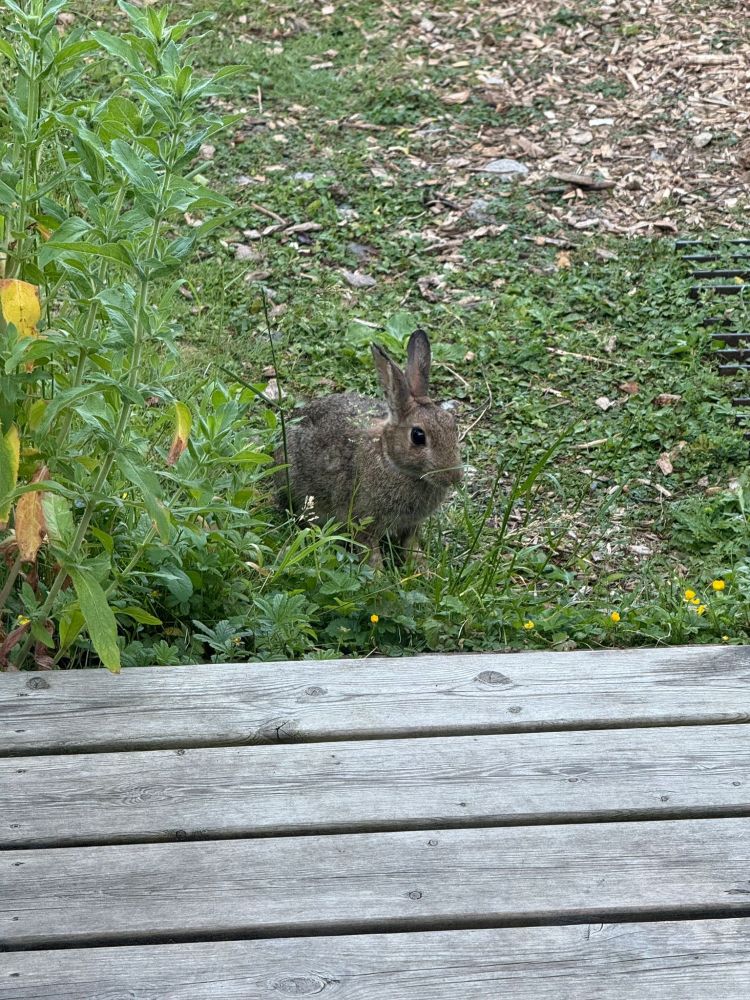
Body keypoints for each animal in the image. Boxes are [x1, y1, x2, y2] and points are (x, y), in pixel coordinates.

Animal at [276, 329, 463, 568]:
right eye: (418, 436)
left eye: (452, 424)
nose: (454, 477)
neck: (390, 460)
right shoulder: (362, 520)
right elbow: (370, 554)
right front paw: (379, 575)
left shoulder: (411, 525)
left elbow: (411, 547)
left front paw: (423, 569)